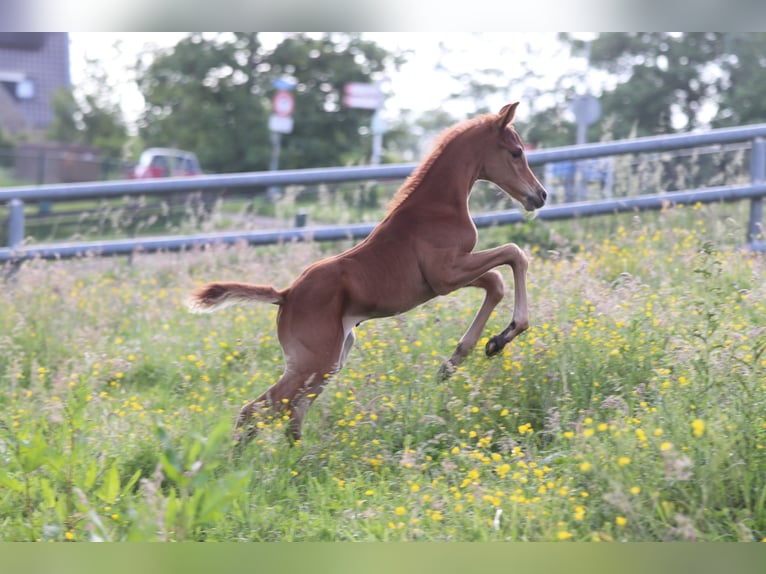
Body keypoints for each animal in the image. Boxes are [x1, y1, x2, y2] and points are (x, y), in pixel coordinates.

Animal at [189, 101, 548, 446]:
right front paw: (507, 332)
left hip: (329, 361)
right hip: (315, 362)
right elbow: (514, 255)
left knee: (291, 414)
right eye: (516, 152)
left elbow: (496, 282)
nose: (541, 195)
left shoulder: (452, 274)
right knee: (258, 410)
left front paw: (471, 353)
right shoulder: (446, 274)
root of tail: (286, 295)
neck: (437, 207)